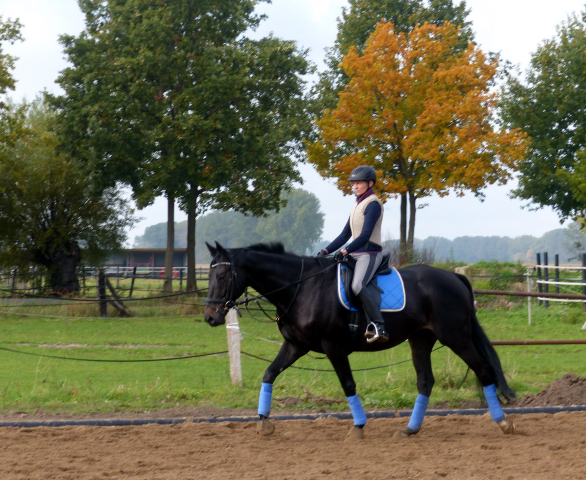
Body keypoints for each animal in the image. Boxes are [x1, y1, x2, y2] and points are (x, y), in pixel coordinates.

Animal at [203, 244, 512, 438]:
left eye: (222, 275)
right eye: (210, 274)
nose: (210, 317)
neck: (302, 287)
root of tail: (453, 277)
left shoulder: (333, 347)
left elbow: (348, 384)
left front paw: (358, 427)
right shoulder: (296, 345)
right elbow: (269, 374)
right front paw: (264, 424)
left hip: (455, 337)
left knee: (484, 372)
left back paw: (503, 423)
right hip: (421, 339)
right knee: (426, 381)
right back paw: (410, 429)